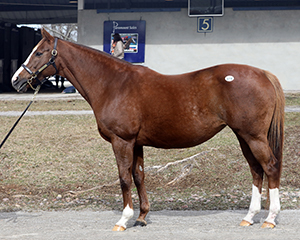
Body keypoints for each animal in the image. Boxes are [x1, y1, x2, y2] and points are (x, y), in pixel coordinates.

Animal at [11, 29, 284, 231]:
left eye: (40, 52)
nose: (16, 80)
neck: (114, 84)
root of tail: (263, 74)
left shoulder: (122, 141)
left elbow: (123, 177)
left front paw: (123, 220)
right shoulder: (137, 143)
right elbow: (139, 176)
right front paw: (141, 217)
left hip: (253, 137)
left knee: (269, 167)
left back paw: (270, 219)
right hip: (243, 137)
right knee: (256, 170)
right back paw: (249, 217)